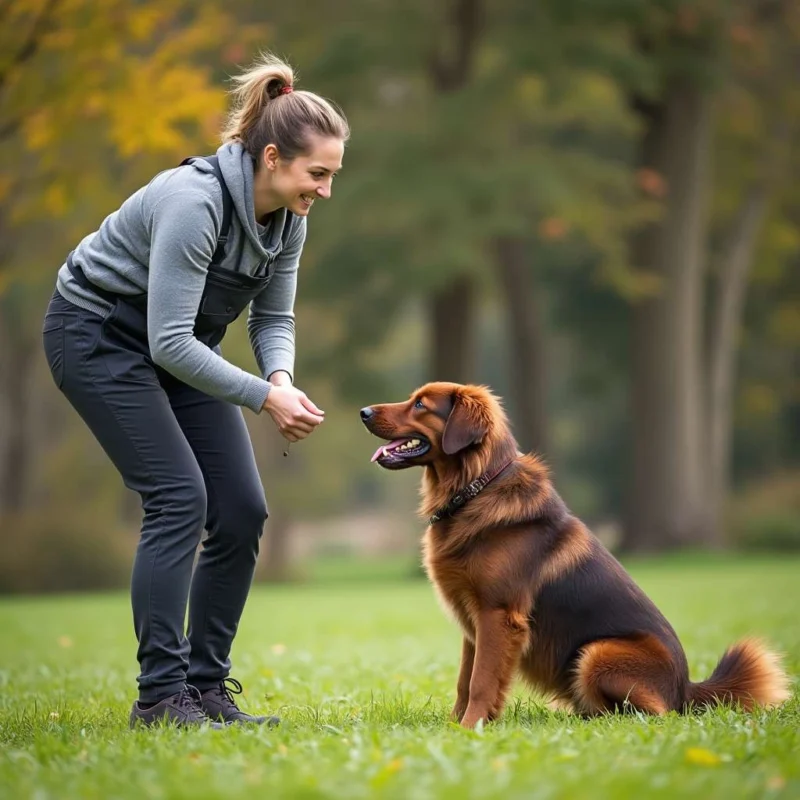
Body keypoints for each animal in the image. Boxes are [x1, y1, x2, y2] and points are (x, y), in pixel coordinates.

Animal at [360, 384, 792, 728]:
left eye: (421, 404)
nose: (363, 411)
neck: (475, 488)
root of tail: (686, 689)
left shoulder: (498, 615)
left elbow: (481, 681)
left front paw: (471, 728)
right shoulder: (473, 622)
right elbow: (465, 681)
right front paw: (455, 726)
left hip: (598, 652)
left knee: (649, 714)